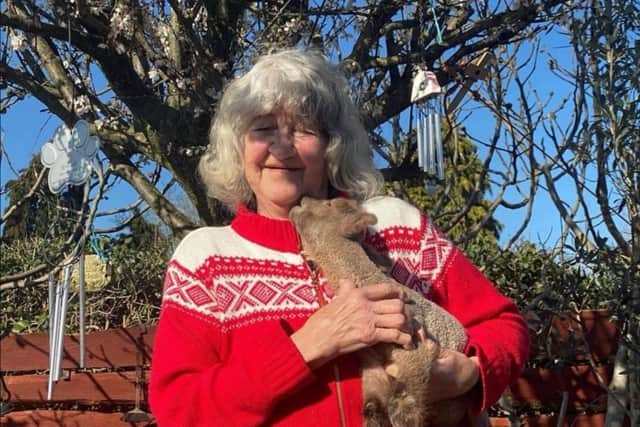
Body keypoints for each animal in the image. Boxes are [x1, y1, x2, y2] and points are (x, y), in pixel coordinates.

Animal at [290, 197, 470, 427]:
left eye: (328, 204)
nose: (303, 199)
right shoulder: (372, 365)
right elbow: (372, 406)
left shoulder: (412, 342)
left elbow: (413, 385)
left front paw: (402, 412)